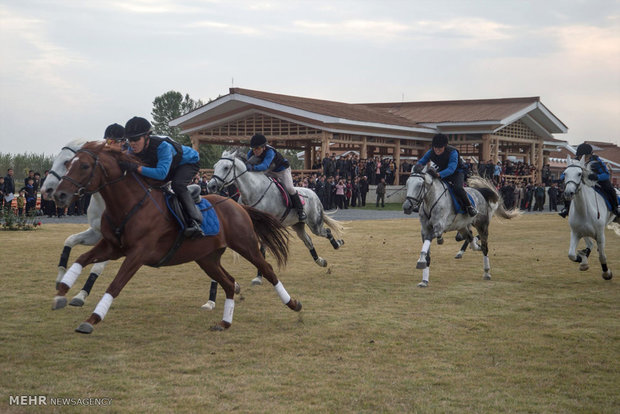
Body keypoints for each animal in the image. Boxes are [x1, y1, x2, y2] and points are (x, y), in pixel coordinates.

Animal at [50, 142, 300, 334]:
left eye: (83, 165)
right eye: (69, 164)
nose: (58, 194)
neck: (130, 205)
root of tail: (238, 205)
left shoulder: (138, 254)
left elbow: (115, 284)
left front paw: (92, 319)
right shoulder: (112, 247)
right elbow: (81, 259)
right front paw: (61, 291)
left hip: (245, 245)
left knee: (267, 269)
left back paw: (293, 303)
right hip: (207, 258)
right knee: (229, 282)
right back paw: (225, 322)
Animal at [207, 148, 344, 284]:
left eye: (226, 167)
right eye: (215, 166)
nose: (210, 186)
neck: (254, 192)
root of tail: (313, 193)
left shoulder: (264, 228)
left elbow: (262, 250)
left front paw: (259, 276)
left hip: (315, 224)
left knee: (326, 231)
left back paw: (338, 244)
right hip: (297, 225)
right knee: (308, 240)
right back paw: (321, 261)